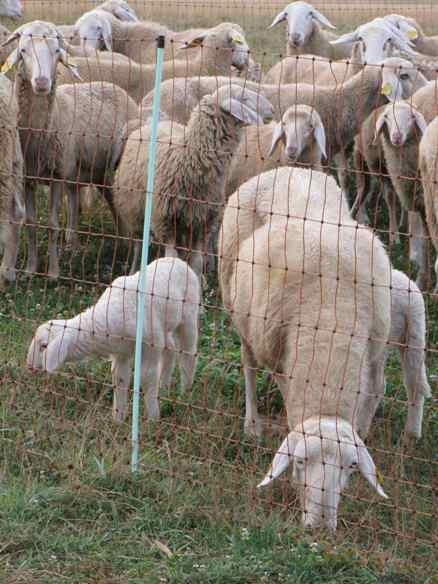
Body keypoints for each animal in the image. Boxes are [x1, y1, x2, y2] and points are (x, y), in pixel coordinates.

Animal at [2, 21, 140, 279]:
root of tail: (114, 87)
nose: (42, 83)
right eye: (23, 50)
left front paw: (53, 273)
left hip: (108, 168)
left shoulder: (56, 176)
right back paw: (74, 246)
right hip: (83, 170)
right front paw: (30, 269)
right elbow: (32, 224)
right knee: (80, 200)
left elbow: (52, 225)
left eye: (57, 51)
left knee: (113, 200)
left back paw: (123, 241)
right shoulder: (28, 178)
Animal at [26, 257, 200, 423]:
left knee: (188, 354)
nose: (29, 366)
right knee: (170, 350)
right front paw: (118, 420)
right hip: (163, 328)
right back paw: (164, 389)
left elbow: (147, 378)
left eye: (44, 346)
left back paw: (185, 392)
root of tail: (178, 261)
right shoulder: (121, 351)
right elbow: (120, 380)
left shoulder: (150, 345)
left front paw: (153, 419)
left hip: (189, 317)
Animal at [112, 84, 274, 277]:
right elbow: (171, 259)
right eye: (243, 98)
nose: (272, 109)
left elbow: (196, 262)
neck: (189, 160)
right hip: (134, 210)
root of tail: (152, 122)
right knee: (138, 243)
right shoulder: (165, 221)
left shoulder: (202, 222)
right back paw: (133, 270)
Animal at [219, 165, 391, 530]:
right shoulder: (280, 360)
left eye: (350, 467)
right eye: (299, 462)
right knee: (247, 362)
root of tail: (284, 169)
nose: (321, 526)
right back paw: (252, 425)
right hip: (237, 305)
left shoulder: (372, 354)